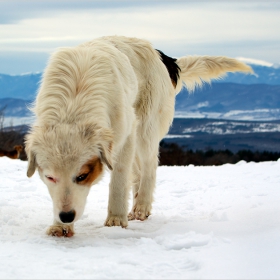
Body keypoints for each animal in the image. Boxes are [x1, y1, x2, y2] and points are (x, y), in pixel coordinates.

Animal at [24, 35, 252, 236]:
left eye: (82, 176)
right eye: (50, 177)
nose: (66, 216)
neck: (73, 104)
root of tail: (160, 55)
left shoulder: (125, 137)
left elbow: (118, 180)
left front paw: (116, 219)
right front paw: (60, 226)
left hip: (145, 132)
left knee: (149, 166)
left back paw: (141, 205)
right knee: (138, 172)